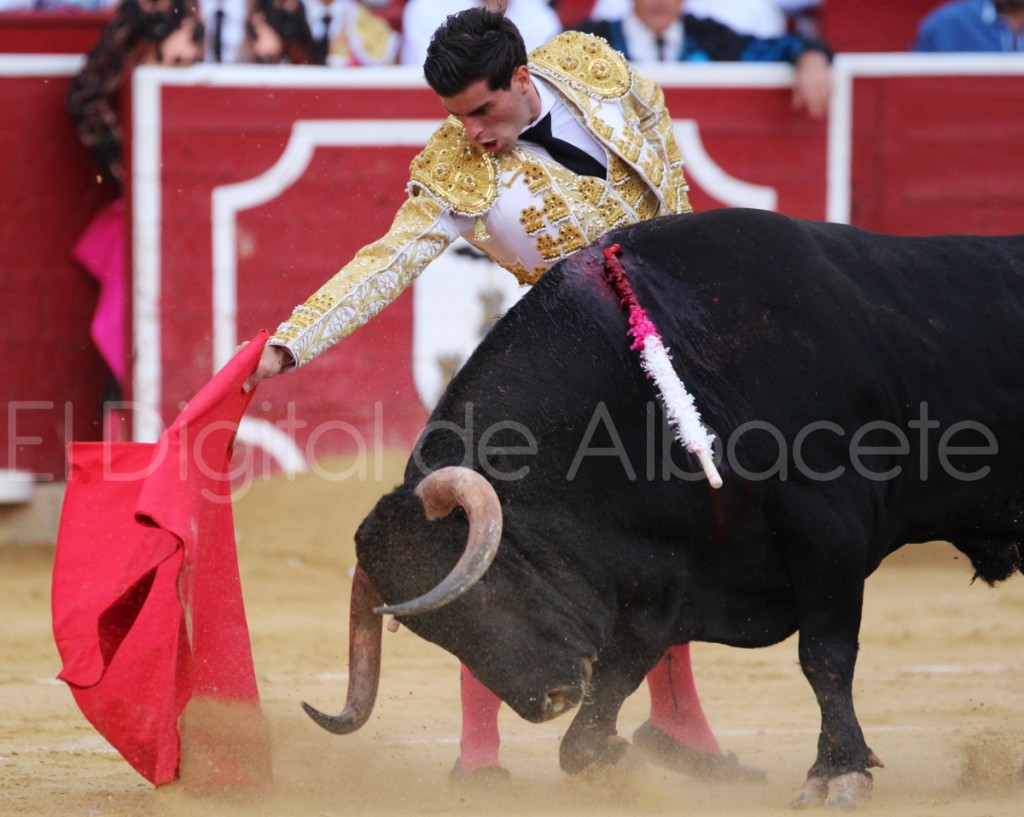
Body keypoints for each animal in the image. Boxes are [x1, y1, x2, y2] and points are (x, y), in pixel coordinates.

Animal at [305, 207, 1024, 802]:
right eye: (437, 631)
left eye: (483, 587)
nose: (547, 698)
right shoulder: (665, 580)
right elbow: (608, 697)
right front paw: (616, 757)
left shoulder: (830, 536)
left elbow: (824, 655)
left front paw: (838, 771)